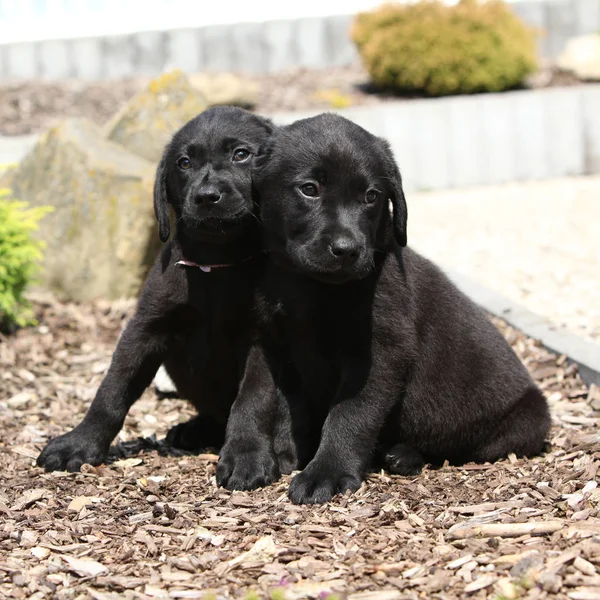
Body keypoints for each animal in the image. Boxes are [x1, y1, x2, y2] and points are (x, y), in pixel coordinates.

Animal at [38, 103, 282, 488]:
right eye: (184, 162)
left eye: (241, 154)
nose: (206, 196)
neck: (215, 263)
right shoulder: (145, 329)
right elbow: (111, 391)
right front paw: (80, 442)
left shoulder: (262, 337)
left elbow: (253, 398)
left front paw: (246, 455)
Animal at [229, 111, 548, 502]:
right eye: (309, 189)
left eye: (371, 196)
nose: (347, 250)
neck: (311, 286)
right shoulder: (270, 339)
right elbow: (253, 396)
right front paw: (251, 456)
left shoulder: (382, 352)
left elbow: (351, 413)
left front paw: (326, 472)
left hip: (525, 420)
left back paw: (403, 455)